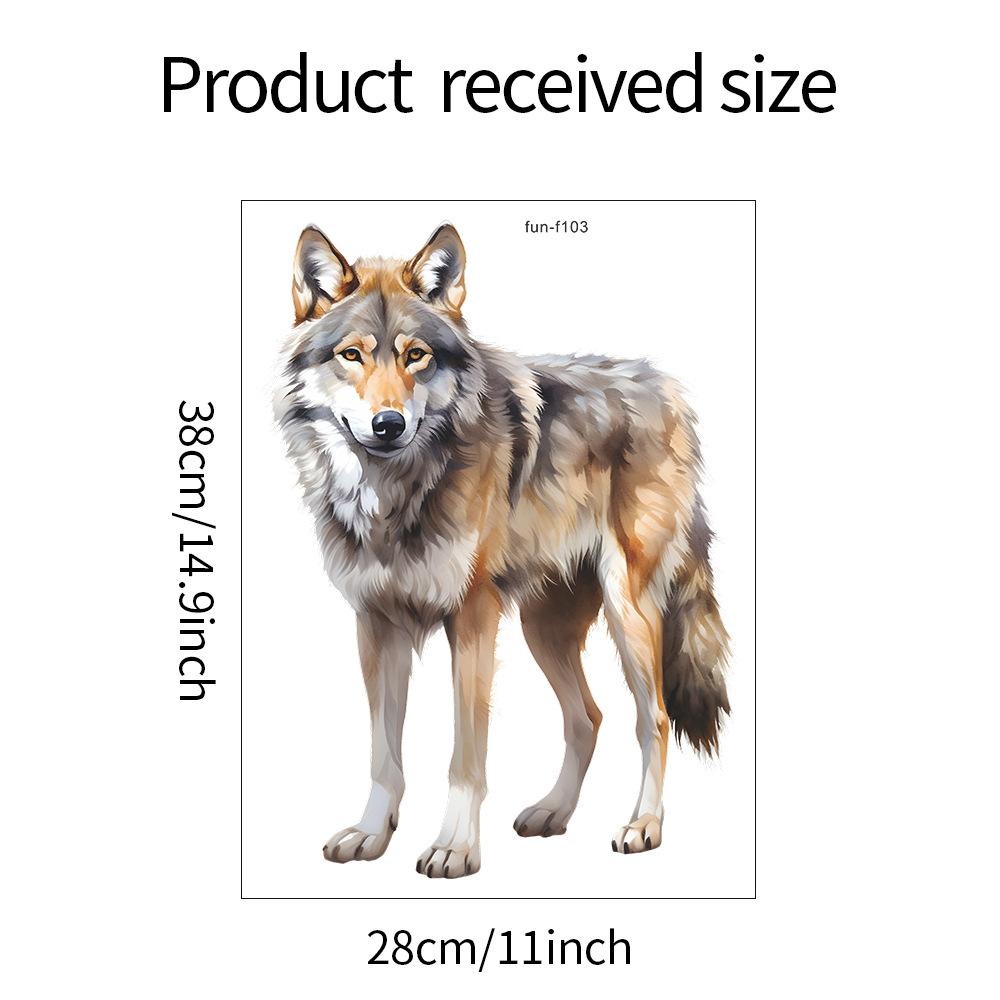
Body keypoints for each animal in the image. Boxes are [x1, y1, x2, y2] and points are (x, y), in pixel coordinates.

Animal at [274, 222, 730, 878]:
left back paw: (643, 825)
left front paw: (455, 848)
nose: (388, 424)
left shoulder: (472, 618)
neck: (395, 497)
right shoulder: (376, 625)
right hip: (544, 628)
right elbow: (384, 756)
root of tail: (668, 390)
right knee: (587, 717)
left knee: (656, 718)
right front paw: (371, 835)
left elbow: (466, 756)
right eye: (352, 355)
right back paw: (552, 812)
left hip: (629, 612)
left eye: (416, 355)